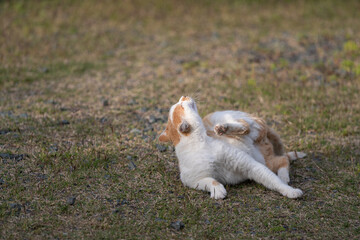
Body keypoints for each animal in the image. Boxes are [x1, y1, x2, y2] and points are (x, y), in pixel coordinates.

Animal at [159, 95, 306, 199]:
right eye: (181, 105)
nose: (184, 96)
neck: (199, 145)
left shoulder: (249, 164)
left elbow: (273, 181)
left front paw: (290, 191)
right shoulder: (193, 180)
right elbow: (210, 181)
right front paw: (217, 191)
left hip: (232, 120)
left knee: (245, 127)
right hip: (265, 160)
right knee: (282, 159)